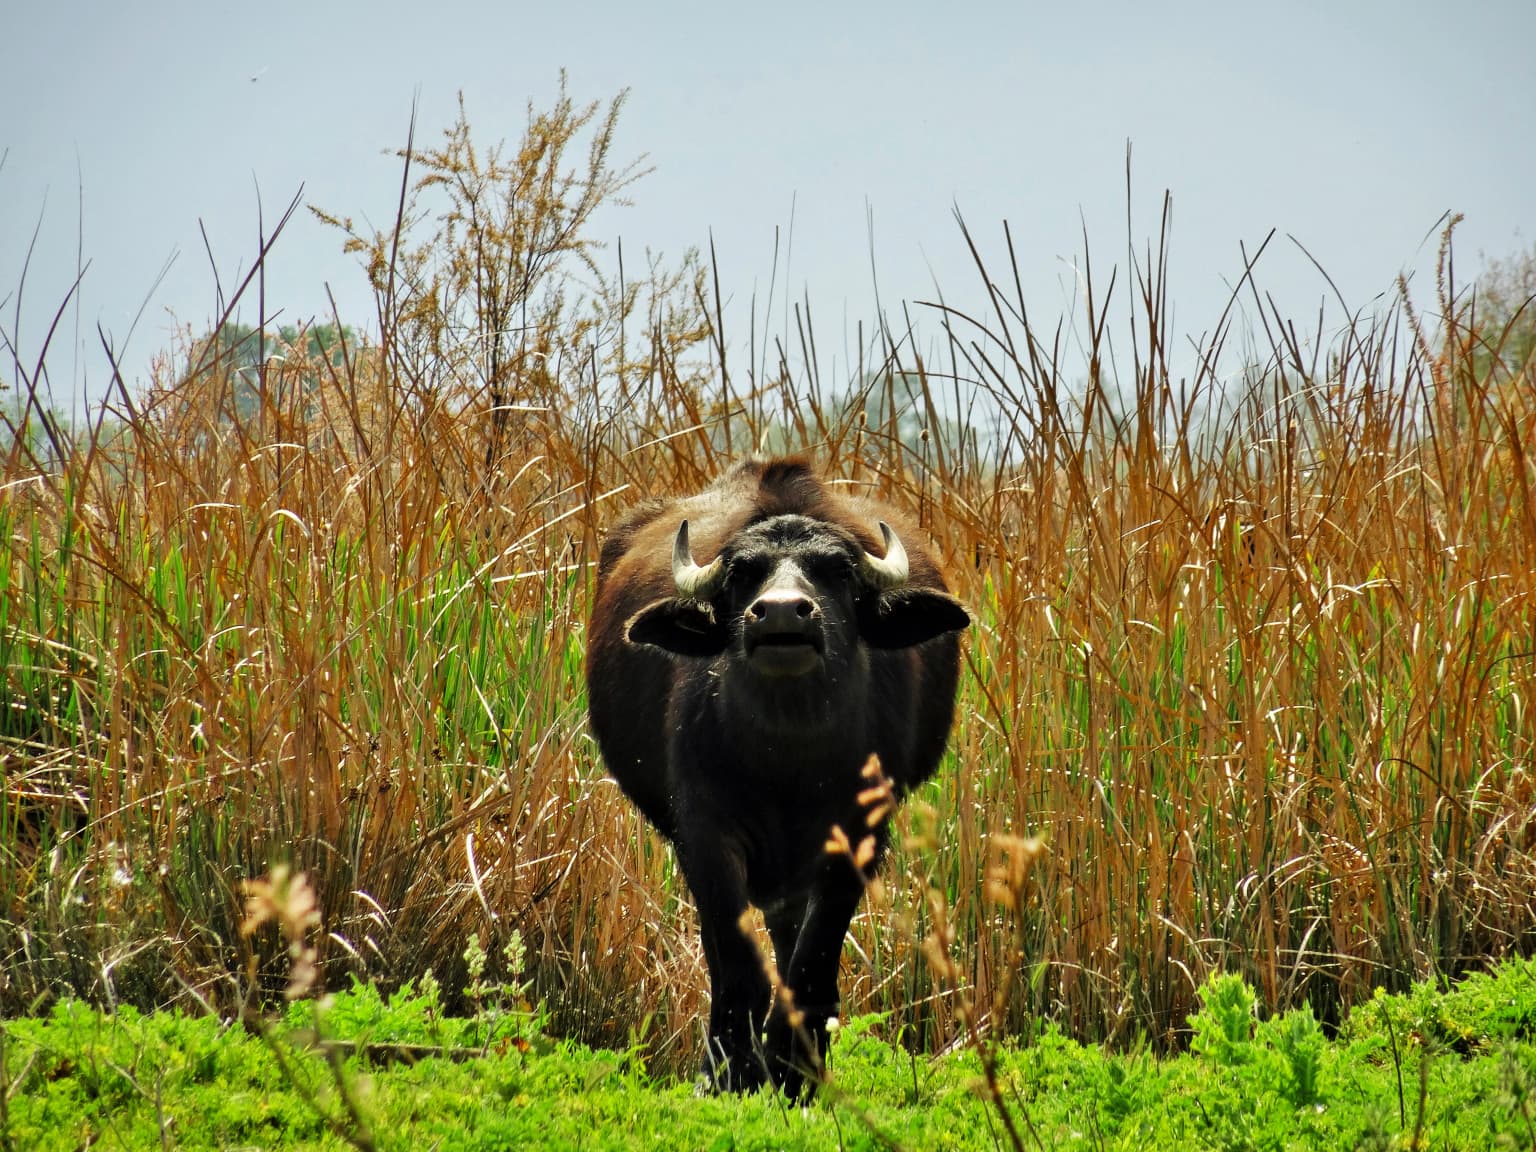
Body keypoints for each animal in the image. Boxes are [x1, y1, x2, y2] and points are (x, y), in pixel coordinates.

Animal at [586, 457, 969, 1094]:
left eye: (839, 570)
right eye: (741, 573)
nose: (784, 610)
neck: (788, 765)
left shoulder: (860, 836)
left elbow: (813, 963)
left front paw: (794, 1069)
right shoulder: (706, 835)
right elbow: (738, 963)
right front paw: (732, 1070)